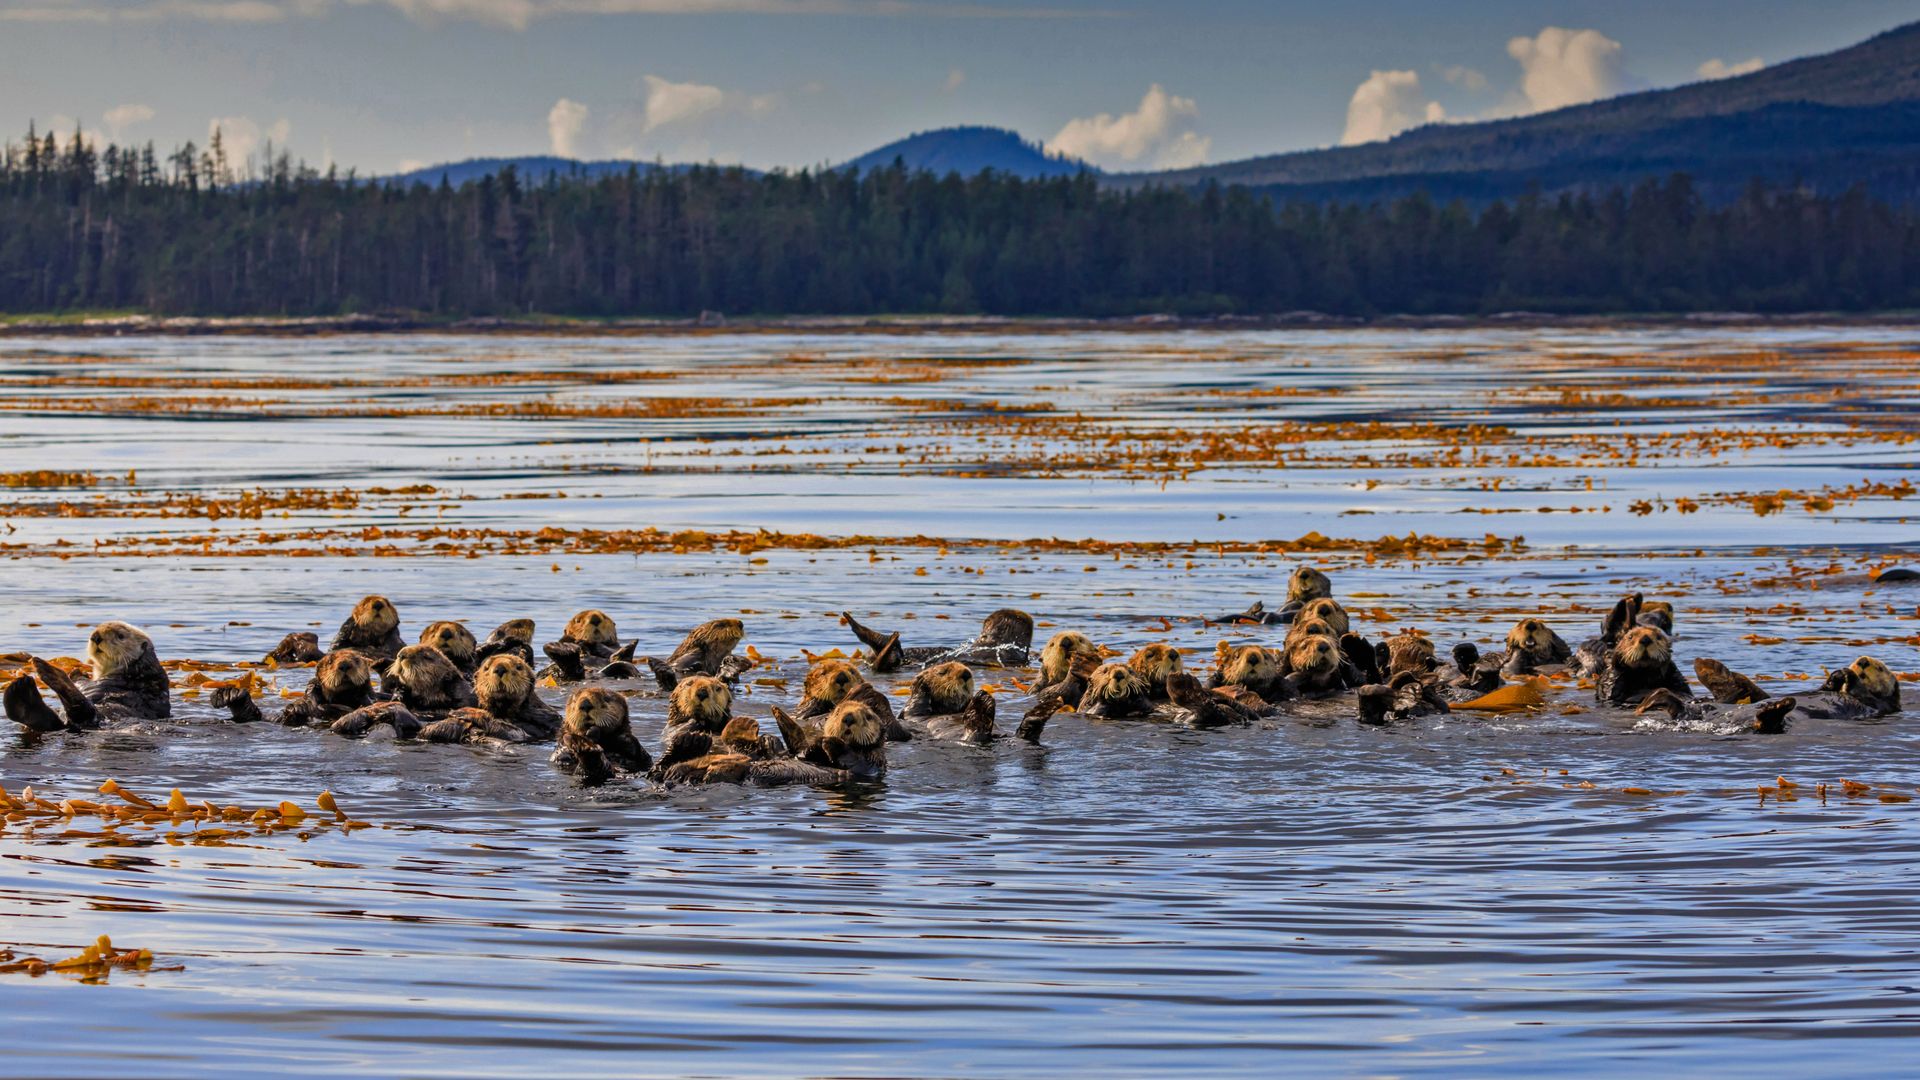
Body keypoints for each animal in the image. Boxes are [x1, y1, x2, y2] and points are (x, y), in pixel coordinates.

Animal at [3, 622, 172, 731]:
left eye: (120, 635)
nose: (96, 636)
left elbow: (86, 683)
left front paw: (76, 673)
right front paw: (77, 672)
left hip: (97, 713)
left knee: (83, 707)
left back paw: (44, 672)